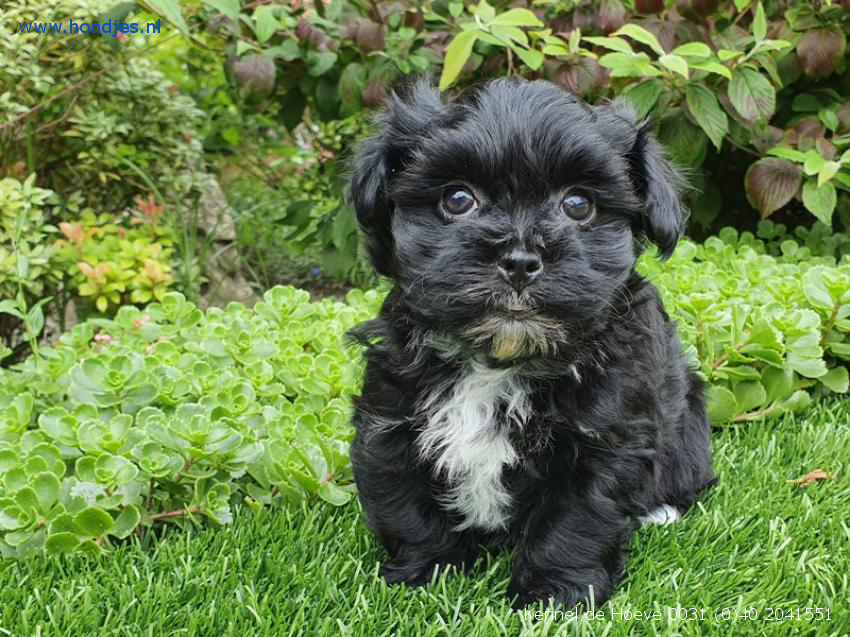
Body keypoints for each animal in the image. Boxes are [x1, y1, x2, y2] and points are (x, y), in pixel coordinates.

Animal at [344, 77, 708, 608]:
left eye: (578, 205)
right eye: (458, 199)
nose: (519, 259)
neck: (498, 362)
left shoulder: (604, 440)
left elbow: (576, 520)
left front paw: (554, 596)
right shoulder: (389, 422)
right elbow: (408, 505)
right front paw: (423, 573)